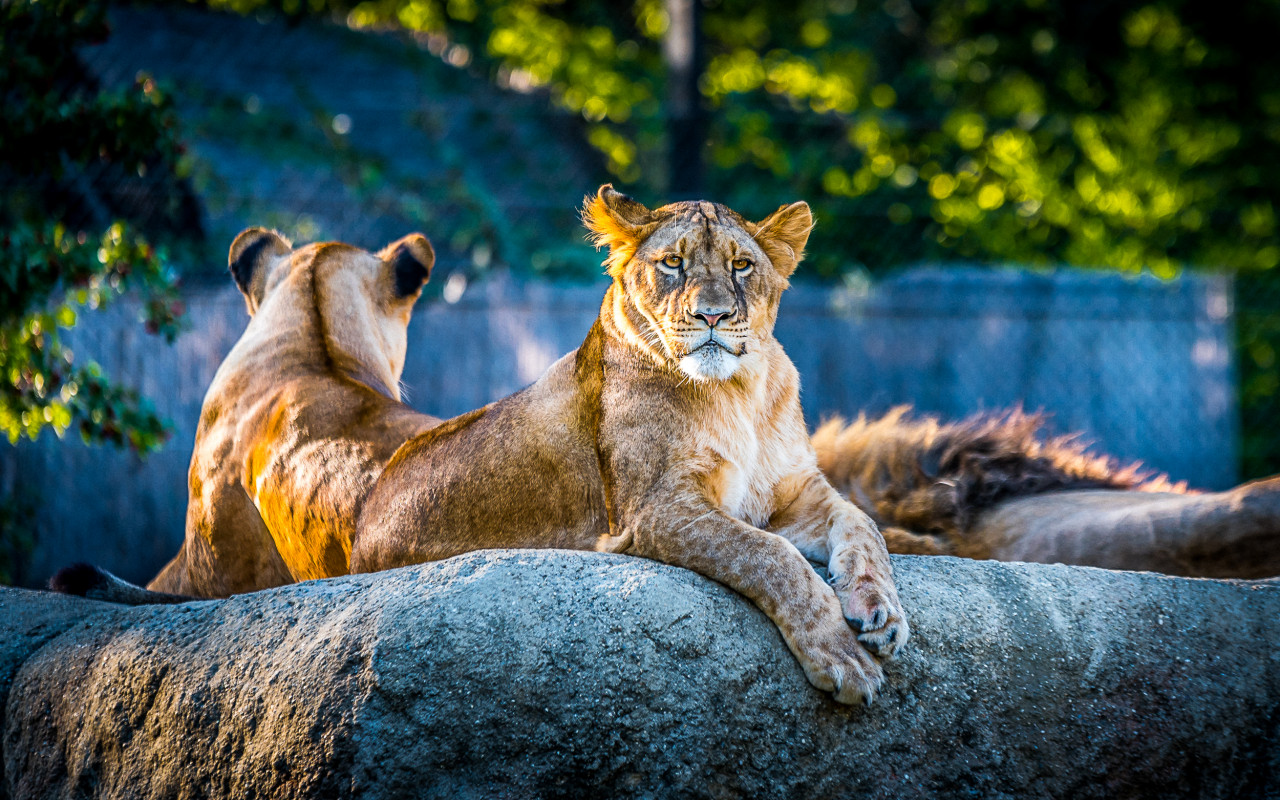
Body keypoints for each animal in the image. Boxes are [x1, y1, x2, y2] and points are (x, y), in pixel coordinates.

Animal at [350, 185, 908, 705]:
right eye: (673, 263)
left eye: (742, 265)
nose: (712, 316)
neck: (738, 391)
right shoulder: (656, 510)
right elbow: (771, 556)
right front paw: (841, 656)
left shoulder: (791, 491)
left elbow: (864, 523)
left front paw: (880, 611)